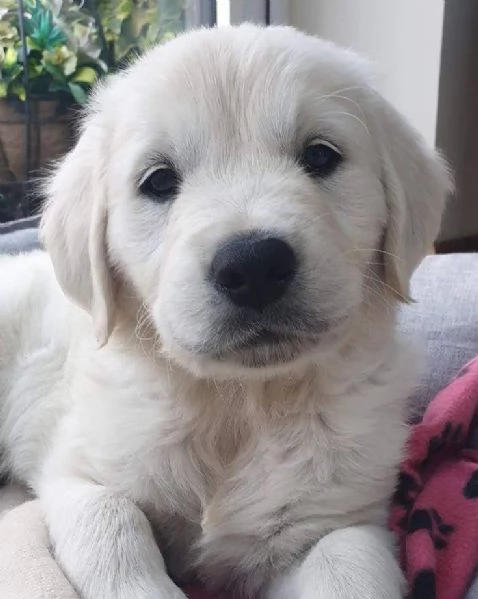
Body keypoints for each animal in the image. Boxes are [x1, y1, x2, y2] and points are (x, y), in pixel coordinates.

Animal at [0, 24, 450, 599]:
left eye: (320, 156)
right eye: (158, 181)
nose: (254, 264)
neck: (238, 406)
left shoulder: (340, 516)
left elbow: (347, 561)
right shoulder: (78, 468)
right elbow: (111, 520)